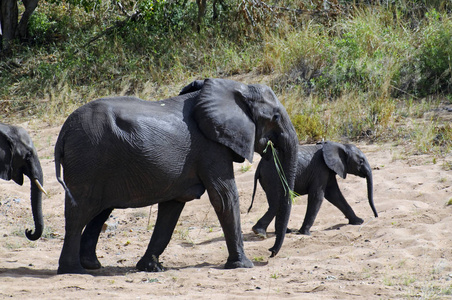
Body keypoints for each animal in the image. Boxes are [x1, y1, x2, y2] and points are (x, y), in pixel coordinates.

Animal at [54, 78, 298, 274]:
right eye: (275, 116)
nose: (270, 252)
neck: (235, 88)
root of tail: (63, 132)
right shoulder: (211, 147)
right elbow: (224, 197)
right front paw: (243, 266)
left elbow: (172, 209)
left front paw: (151, 268)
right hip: (88, 157)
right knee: (80, 211)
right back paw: (73, 270)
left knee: (100, 210)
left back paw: (92, 265)